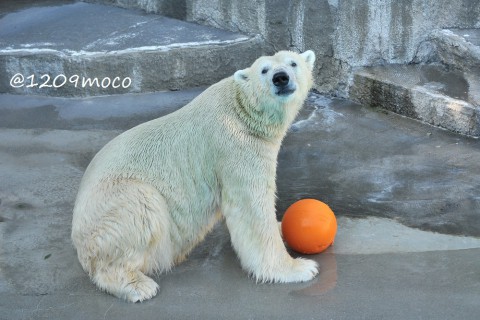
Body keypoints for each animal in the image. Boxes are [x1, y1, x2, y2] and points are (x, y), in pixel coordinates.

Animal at [71, 50, 316, 302]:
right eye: (264, 70)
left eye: (293, 63)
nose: (281, 78)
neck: (240, 109)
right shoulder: (235, 146)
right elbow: (251, 207)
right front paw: (298, 268)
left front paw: (280, 225)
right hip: (112, 205)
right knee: (141, 206)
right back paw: (138, 286)